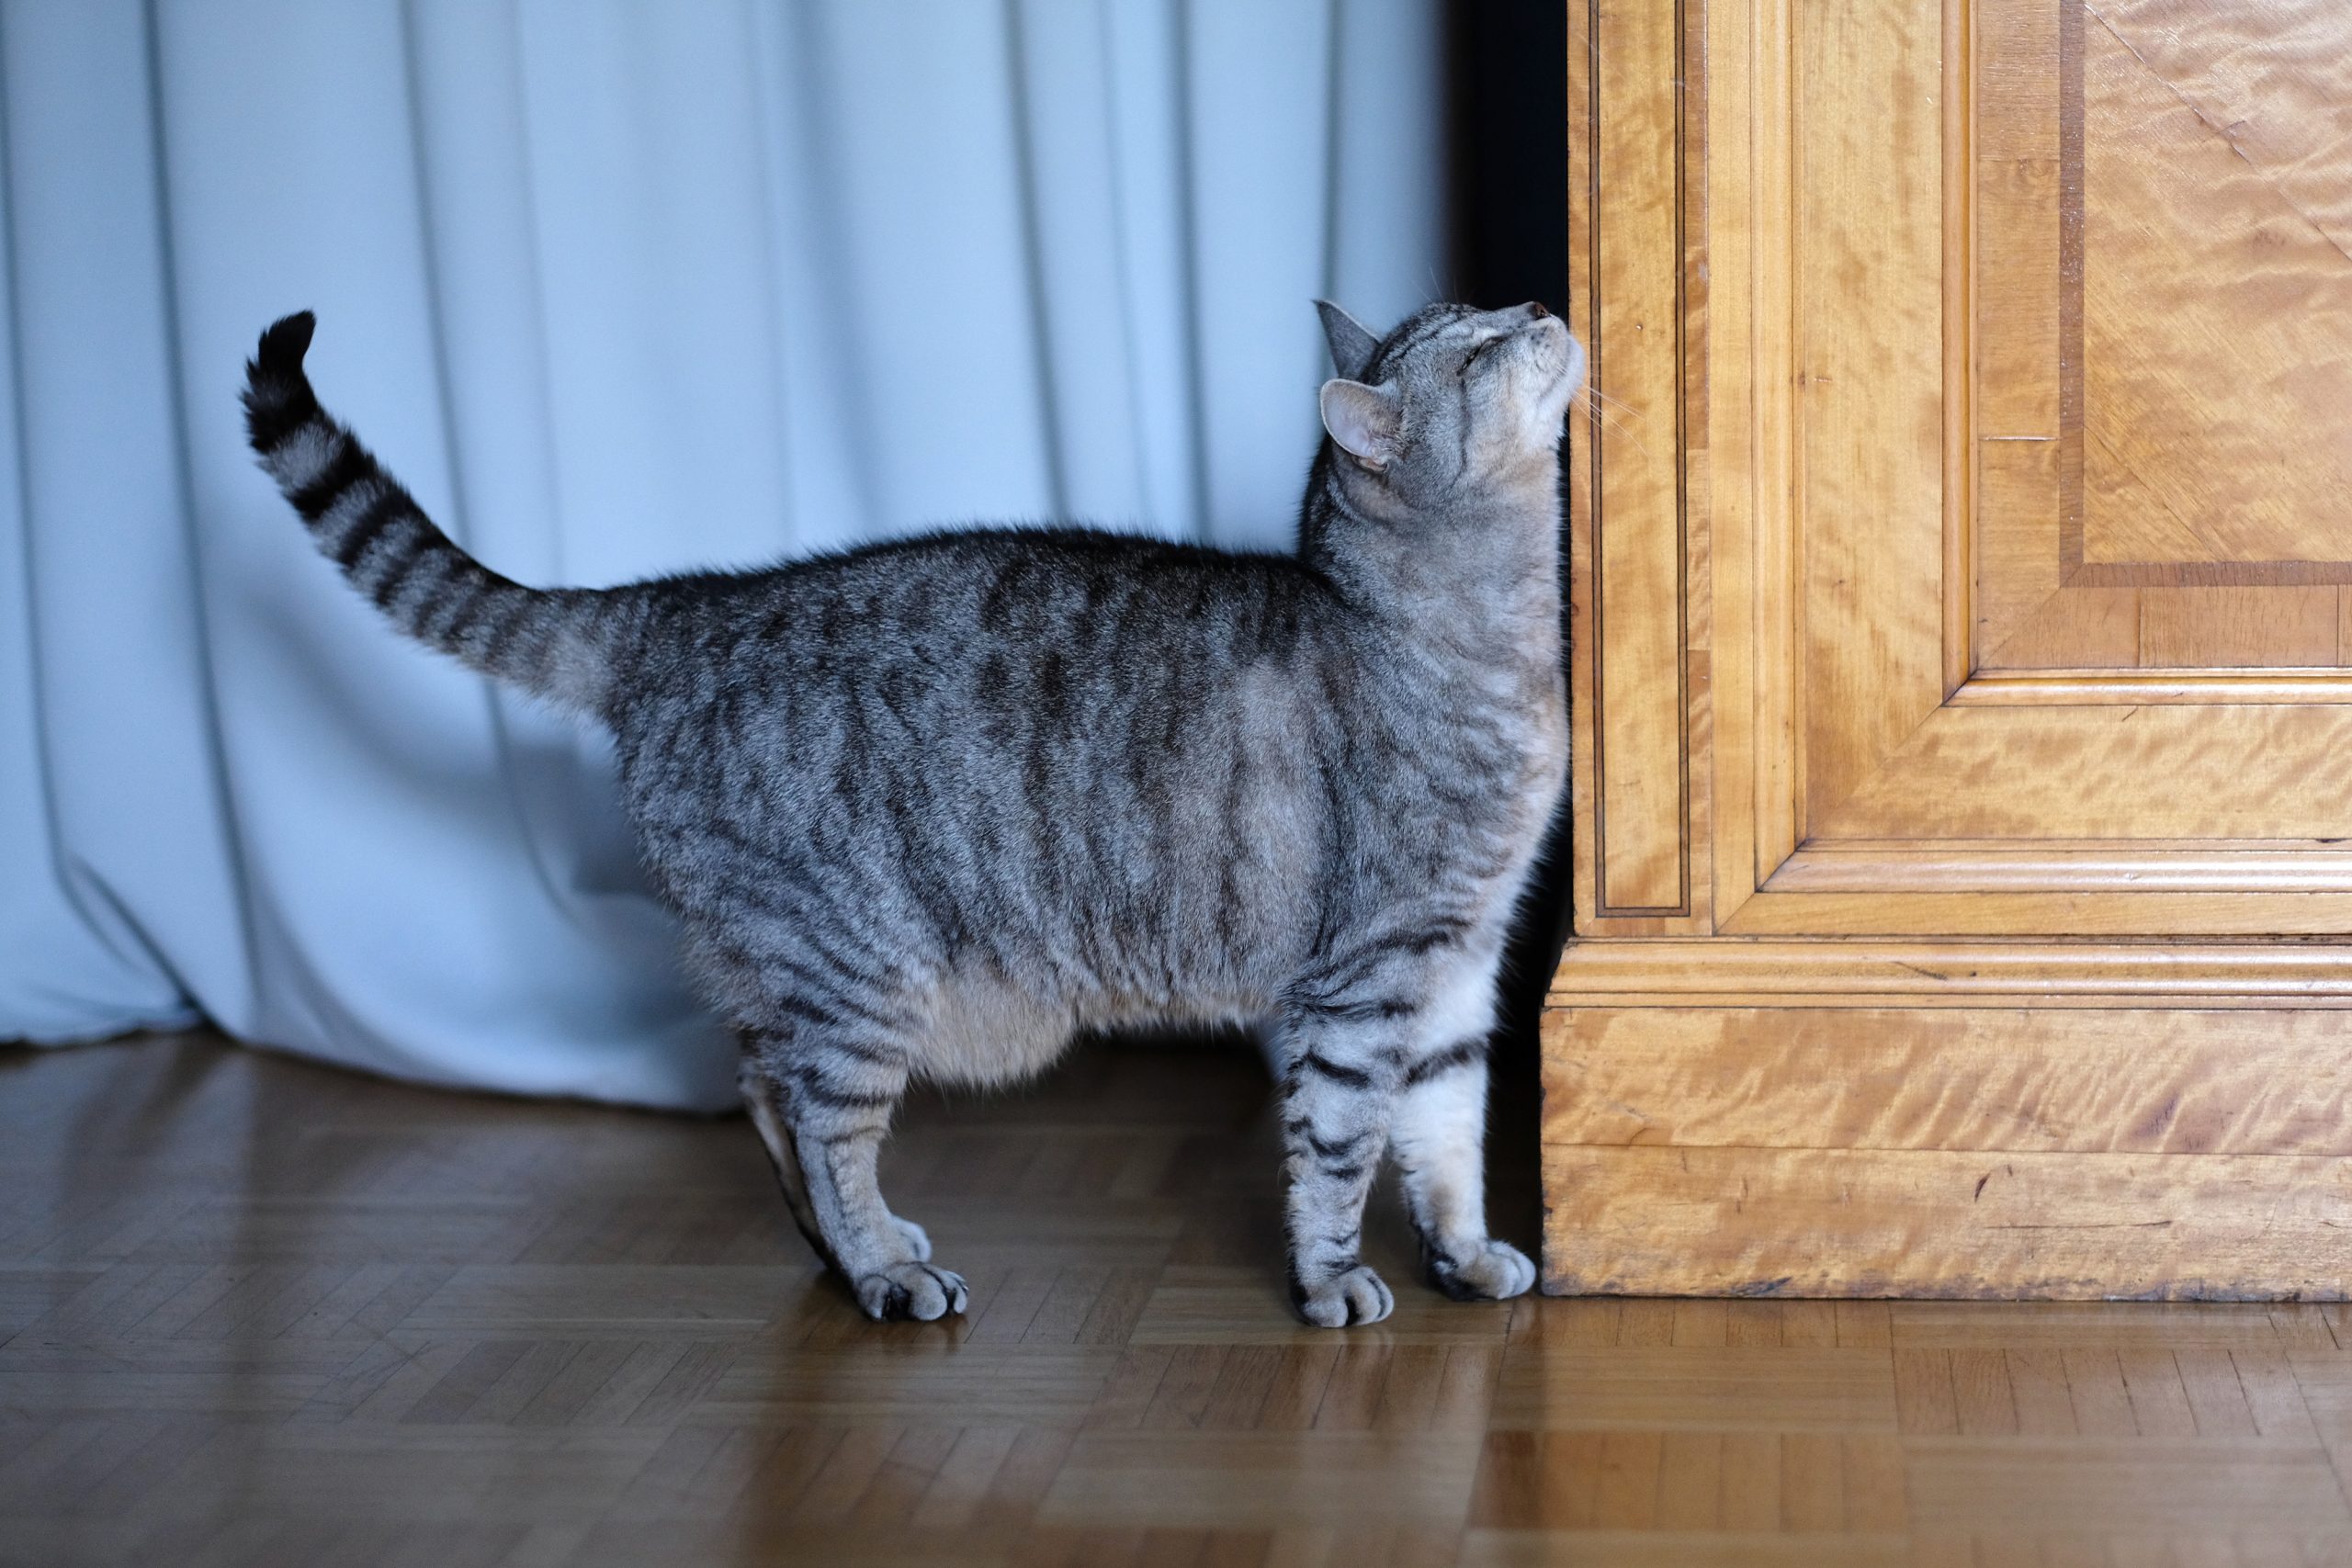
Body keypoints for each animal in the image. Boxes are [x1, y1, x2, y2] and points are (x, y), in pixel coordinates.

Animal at [243, 297, 1580, 1325]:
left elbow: (1447, 1127)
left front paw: (1466, 1252)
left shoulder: (1460, 959)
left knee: (764, 1087)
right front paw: (1334, 1277)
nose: (1541, 303)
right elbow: (1343, 1146)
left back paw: (851, 1256)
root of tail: (678, 608)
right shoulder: (1363, 976)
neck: (1500, 654)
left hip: (788, 966)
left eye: (1487, 311)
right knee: (820, 1122)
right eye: (1475, 350)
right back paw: (882, 1263)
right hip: (860, 969)